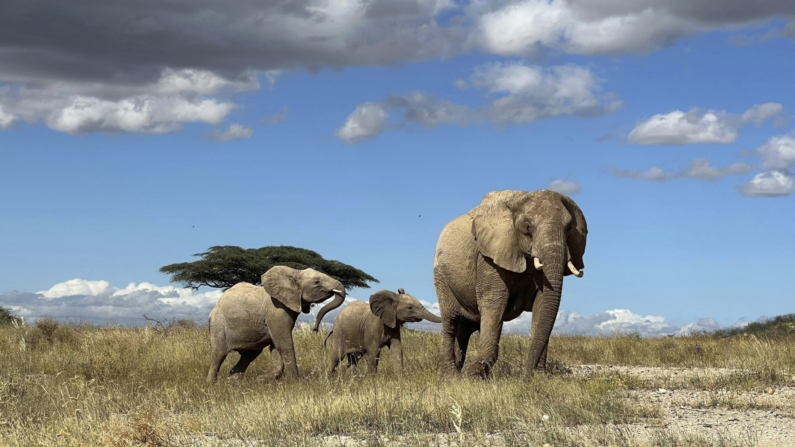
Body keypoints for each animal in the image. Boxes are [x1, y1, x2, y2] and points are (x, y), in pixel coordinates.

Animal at [205, 266, 346, 384]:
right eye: (316, 282)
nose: (315, 329)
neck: (295, 272)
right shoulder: (276, 310)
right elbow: (284, 343)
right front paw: (296, 382)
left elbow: (276, 345)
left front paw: (262, 379)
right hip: (219, 324)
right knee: (219, 354)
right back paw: (212, 385)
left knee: (249, 355)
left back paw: (233, 383)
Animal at [432, 189, 588, 378]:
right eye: (528, 228)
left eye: (569, 229)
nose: (526, 376)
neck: (520, 198)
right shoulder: (489, 257)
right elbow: (494, 302)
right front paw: (472, 375)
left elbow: (542, 304)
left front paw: (540, 376)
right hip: (441, 275)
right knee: (450, 320)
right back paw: (451, 375)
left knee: (466, 326)